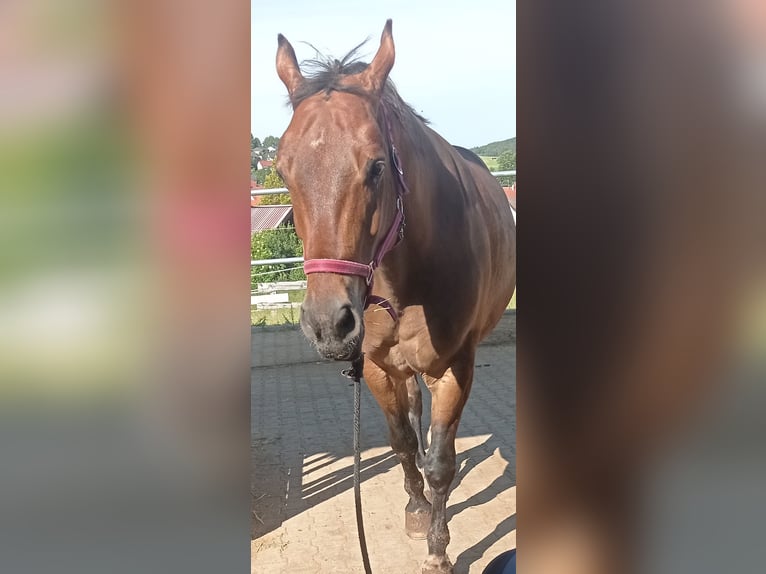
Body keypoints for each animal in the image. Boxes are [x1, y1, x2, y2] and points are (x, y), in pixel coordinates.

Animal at [276, 19, 516, 574]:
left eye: (378, 166)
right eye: (281, 171)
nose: (329, 325)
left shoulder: (455, 369)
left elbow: (442, 462)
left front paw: (438, 550)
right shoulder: (377, 368)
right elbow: (403, 442)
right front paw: (416, 511)